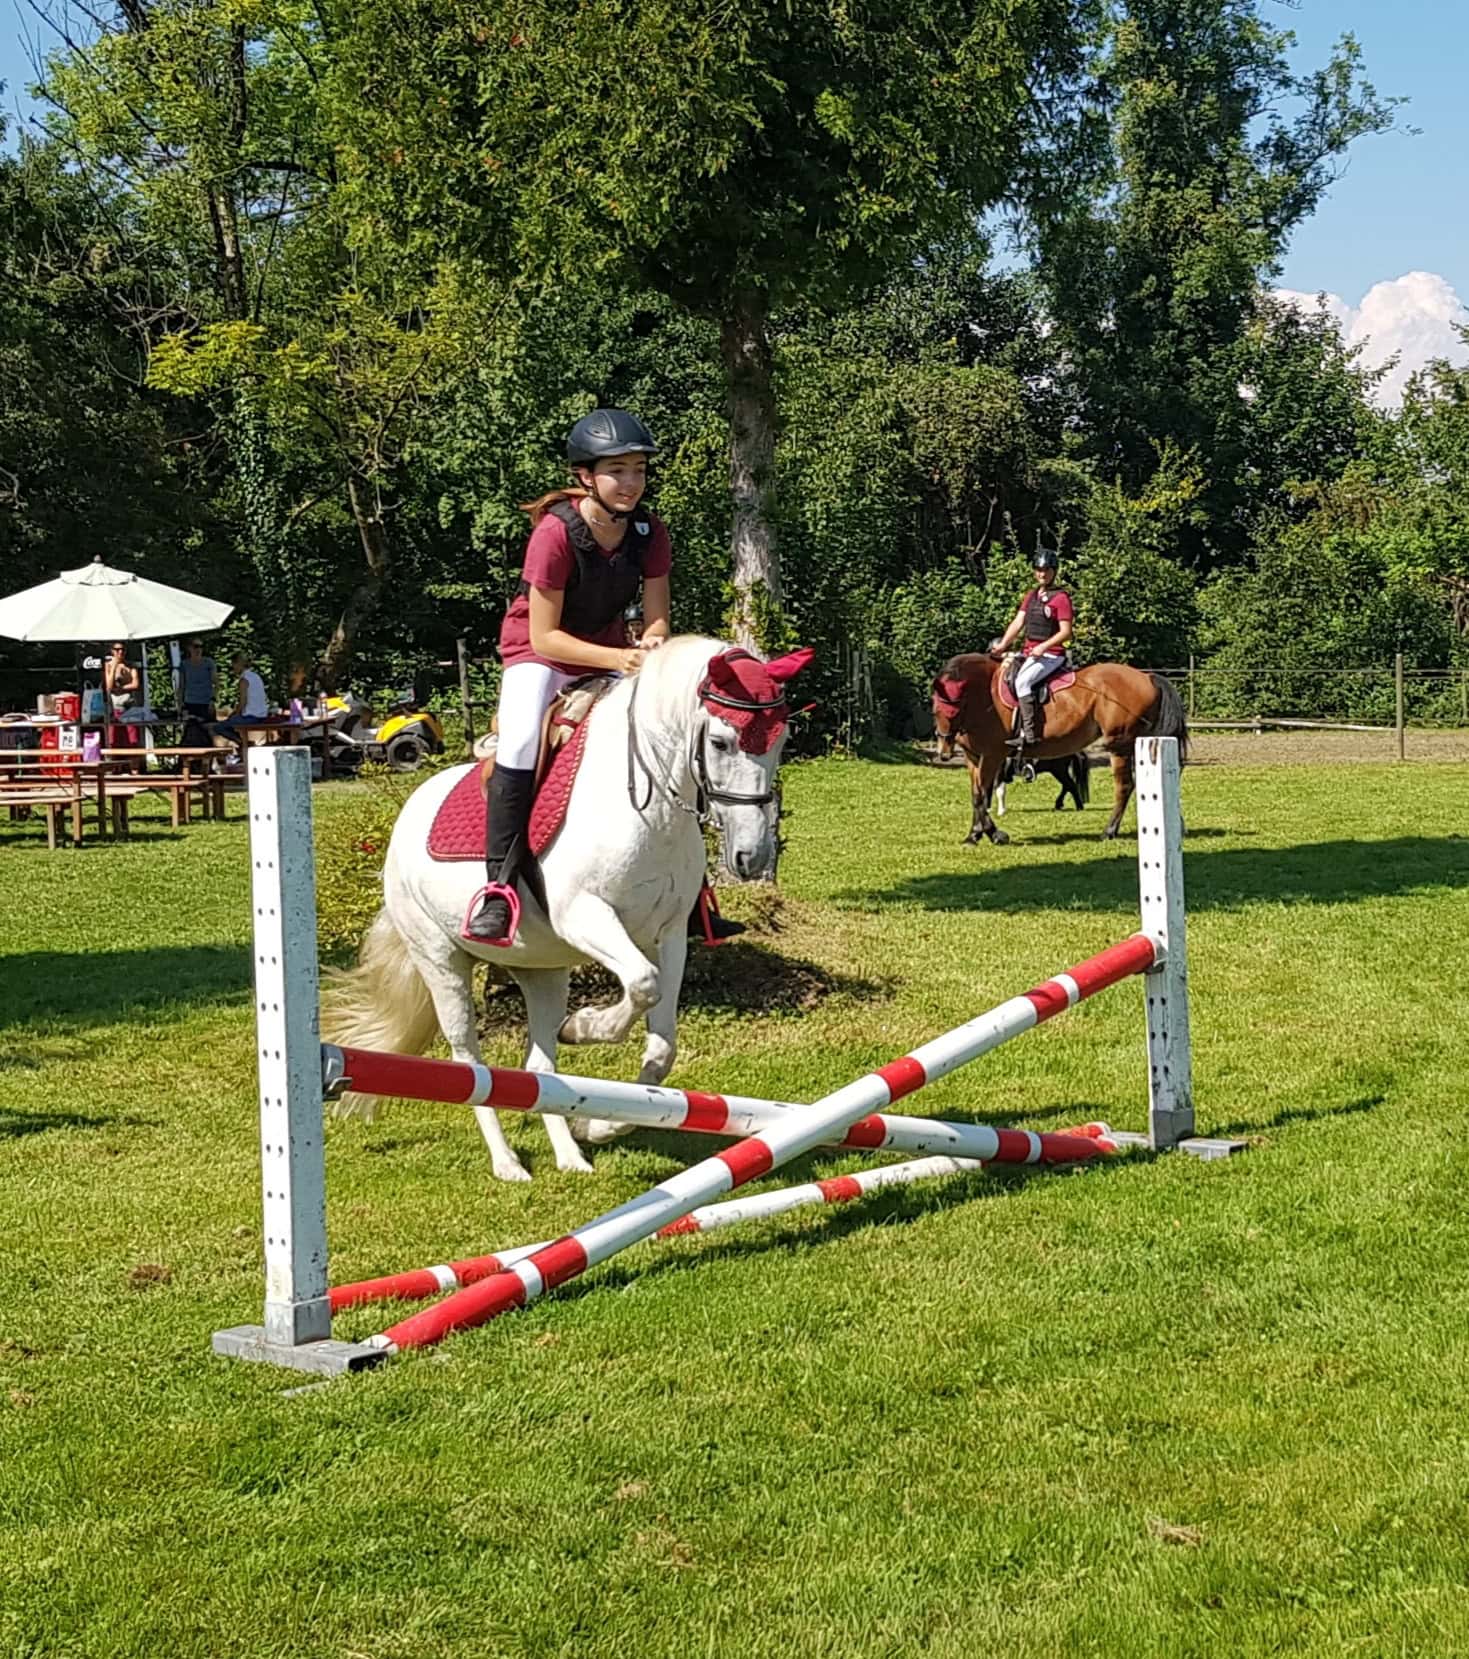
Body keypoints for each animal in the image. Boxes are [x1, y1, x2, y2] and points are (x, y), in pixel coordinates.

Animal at [322, 636, 797, 1182]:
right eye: (720, 742)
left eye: (781, 739)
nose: (751, 856)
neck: (647, 804)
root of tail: (406, 819)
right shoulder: (584, 915)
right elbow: (643, 984)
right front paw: (586, 1027)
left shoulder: (670, 934)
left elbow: (661, 1048)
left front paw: (600, 1125)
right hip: (440, 961)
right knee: (471, 1060)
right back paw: (508, 1162)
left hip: (541, 970)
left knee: (539, 1069)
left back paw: (570, 1154)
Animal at [931, 652, 1187, 845]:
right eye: (935, 709)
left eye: (955, 708)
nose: (944, 752)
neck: (985, 696)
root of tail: (1147, 676)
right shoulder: (973, 757)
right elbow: (976, 795)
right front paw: (974, 835)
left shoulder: (993, 755)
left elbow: (982, 794)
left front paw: (995, 835)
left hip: (1120, 745)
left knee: (1124, 787)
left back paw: (1109, 831)